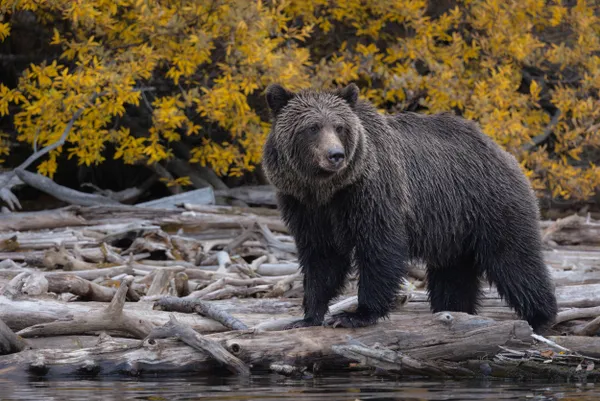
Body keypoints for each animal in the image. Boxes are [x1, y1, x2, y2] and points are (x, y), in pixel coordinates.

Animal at [262, 83, 556, 330]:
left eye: (339, 126)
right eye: (312, 127)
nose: (335, 155)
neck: (327, 190)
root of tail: (504, 153)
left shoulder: (371, 194)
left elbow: (379, 249)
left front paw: (355, 314)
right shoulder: (306, 208)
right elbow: (321, 258)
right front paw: (308, 316)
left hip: (492, 204)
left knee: (515, 260)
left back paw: (541, 316)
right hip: (454, 229)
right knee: (453, 276)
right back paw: (455, 310)